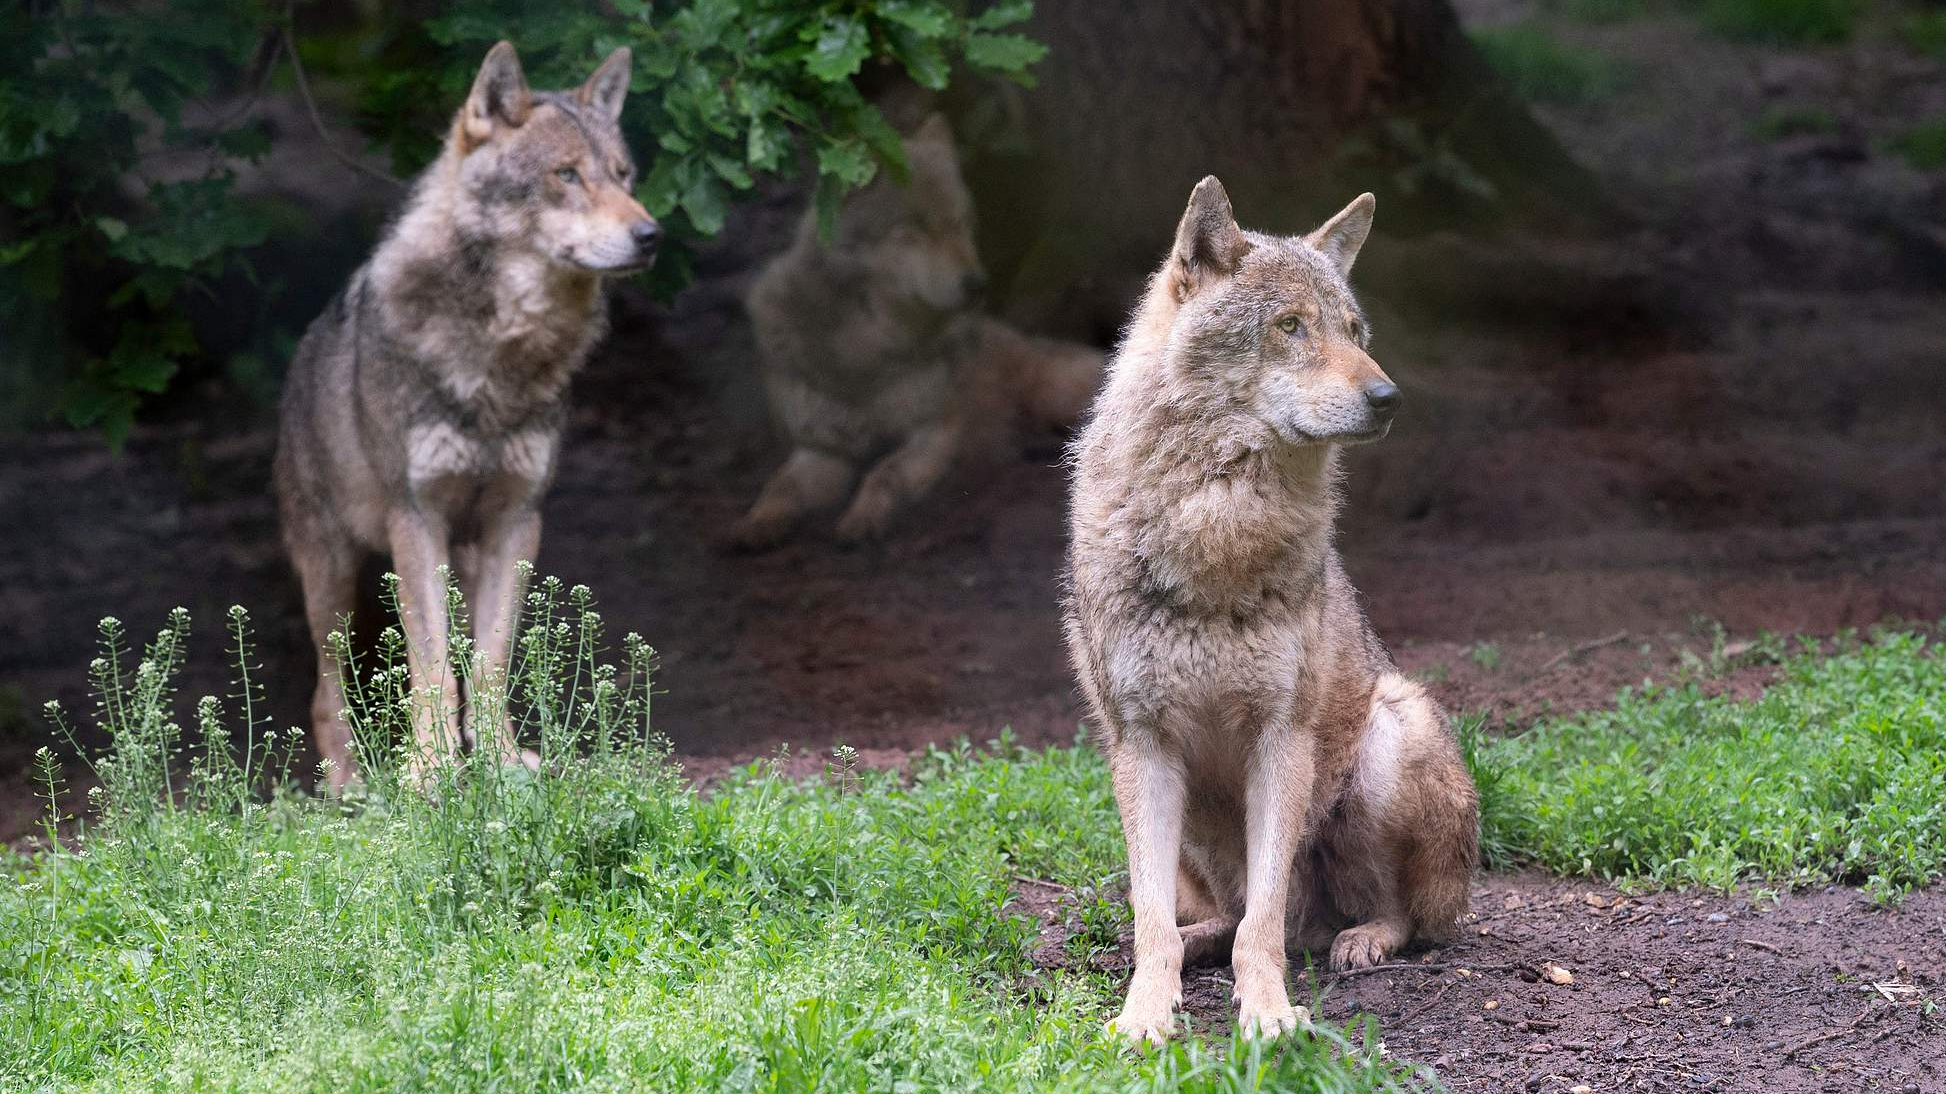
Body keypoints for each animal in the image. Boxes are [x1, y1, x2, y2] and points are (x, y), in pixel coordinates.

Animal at [272, 40, 661, 782]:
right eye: (567, 175)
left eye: (623, 175)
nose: (651, 233)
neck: (500, 349)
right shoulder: (416, 516)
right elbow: (430, 664)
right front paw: (429, 771)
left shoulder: (517, 519)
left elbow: (487, 661)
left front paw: (503, 763)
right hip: (331, 575)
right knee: (327, 686)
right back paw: (347, 779)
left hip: (464, 555)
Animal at [731, 112, 1105, 545]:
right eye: (914, 232)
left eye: (960, 224)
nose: (977, 284)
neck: (866, 350)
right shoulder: (822, 451)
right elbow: (781, 485)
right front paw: (756, 524)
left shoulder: (932, 432)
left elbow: (884, 471)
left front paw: (863, 519)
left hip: (1056, 391)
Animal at [1066, 177, 1471, 1035]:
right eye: (1291, 327)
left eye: (1354, 331)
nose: (1388, 396)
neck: (1218, 524)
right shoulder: (1142, 744)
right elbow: (1153, 918)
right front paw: (1145, 1015)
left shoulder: (1282, 739)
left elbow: (1265, 918)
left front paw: (1271, 1015)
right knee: (1212, 914)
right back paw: (1201, 943)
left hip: (1389, 736)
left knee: (1385, 914)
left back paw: (1359, 940)